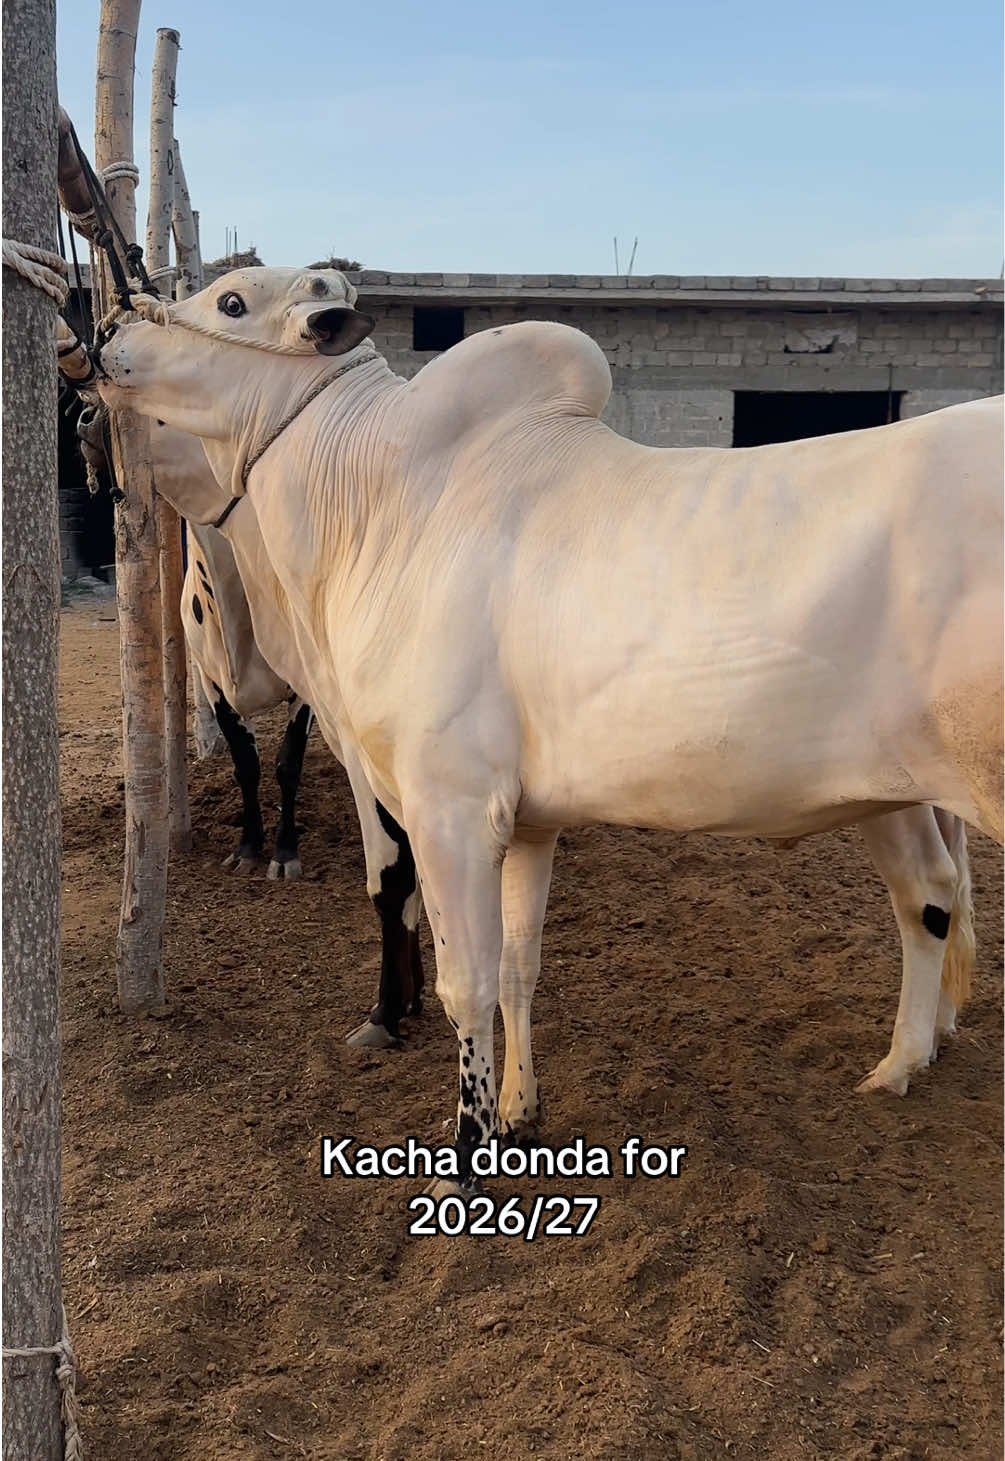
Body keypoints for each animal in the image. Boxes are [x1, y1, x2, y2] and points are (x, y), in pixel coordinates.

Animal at [89, 269, 1002, 1188]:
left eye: (231, 302)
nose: (104, 332)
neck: (378, 501)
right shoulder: (525, 821)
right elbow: (516, 967)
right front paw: (516, 1114)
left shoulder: (445, 806)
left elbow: (463, 979)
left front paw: (463, 1154)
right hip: (888, 792)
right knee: (927, 894)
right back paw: (899, 1061)